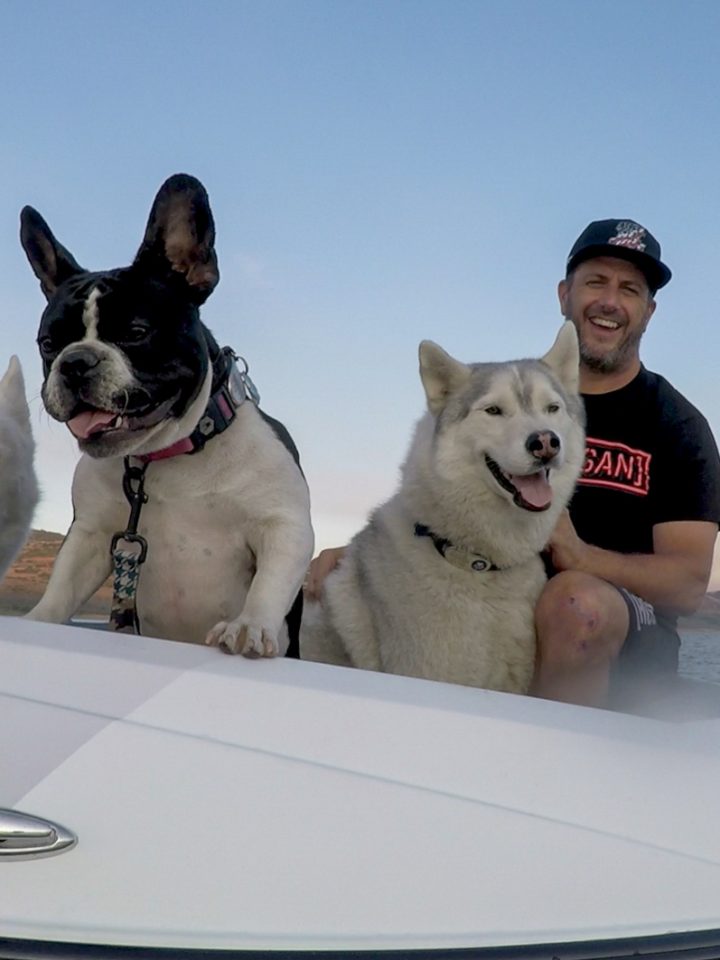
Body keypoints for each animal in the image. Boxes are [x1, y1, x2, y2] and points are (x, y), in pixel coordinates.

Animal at [20, 174, 313, 656]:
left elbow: (269, 584)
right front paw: (36, 620)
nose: (75, 362)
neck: (169, 453)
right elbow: (63, 585)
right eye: (48, 343)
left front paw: (249, 625)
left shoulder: (282, 524)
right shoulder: (92, 535)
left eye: (136, 332)